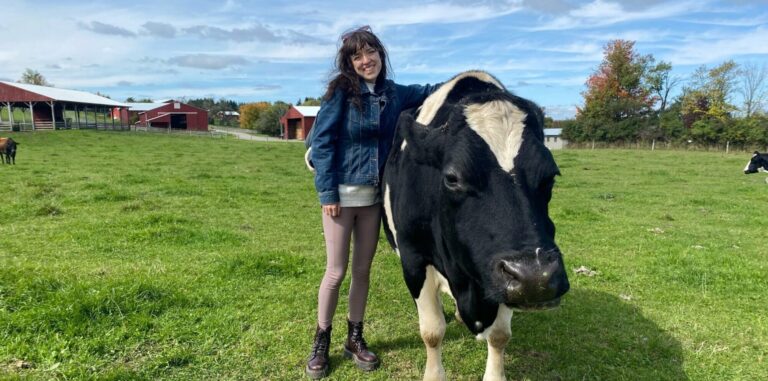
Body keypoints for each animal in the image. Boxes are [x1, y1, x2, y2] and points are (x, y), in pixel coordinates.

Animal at [380, 70, 568, 378]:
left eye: (551, 175)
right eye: (452, 178)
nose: (534, 277)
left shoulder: (493, 273)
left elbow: (500, 335)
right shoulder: (414, 259)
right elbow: (432, 331)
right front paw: (433, 375)